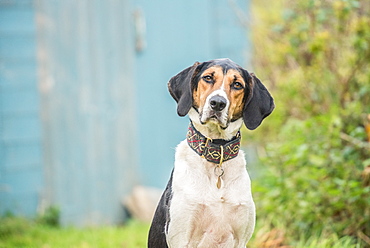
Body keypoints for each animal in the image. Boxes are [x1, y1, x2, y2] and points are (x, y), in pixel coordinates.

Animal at [148, 58, 274, 248]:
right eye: (208, 78)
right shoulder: (181, 237)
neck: (216, 152)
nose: (218, 103)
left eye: (237, 84)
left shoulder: (241, 239)